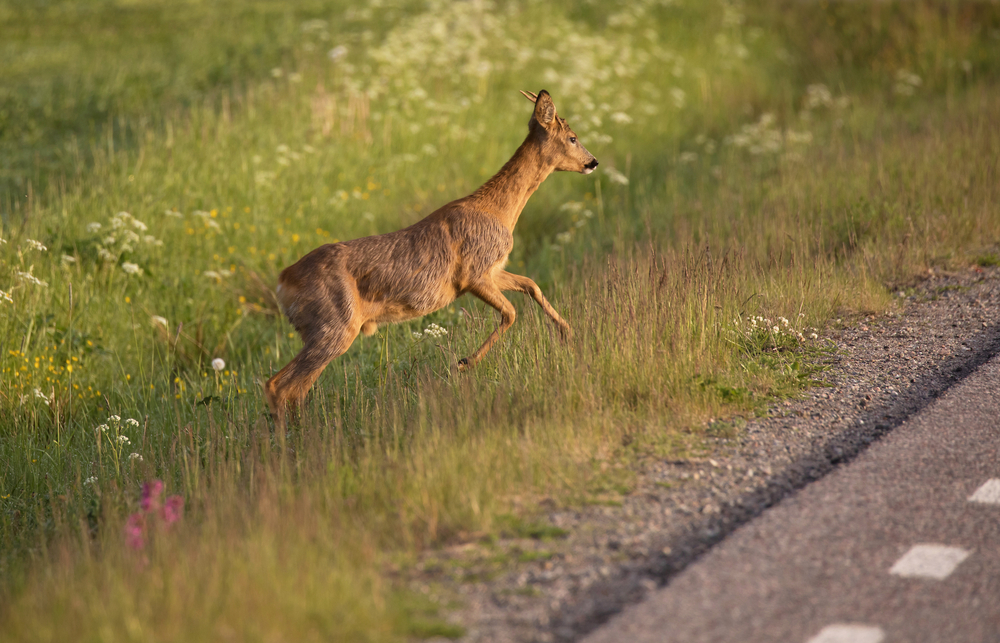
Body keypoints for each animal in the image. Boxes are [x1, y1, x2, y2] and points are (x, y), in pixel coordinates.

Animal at [264, 89, 598, 427]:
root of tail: (284, 281)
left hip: (325, 330)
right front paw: (464, 362)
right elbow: (511, 312)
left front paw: (568, 332)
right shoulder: (473, 273)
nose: (593, 162)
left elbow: (531, 285)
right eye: (572, 137)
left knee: (294, 389)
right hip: (335, 325)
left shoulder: (492, 270)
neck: (500, 211)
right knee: (278, 385)